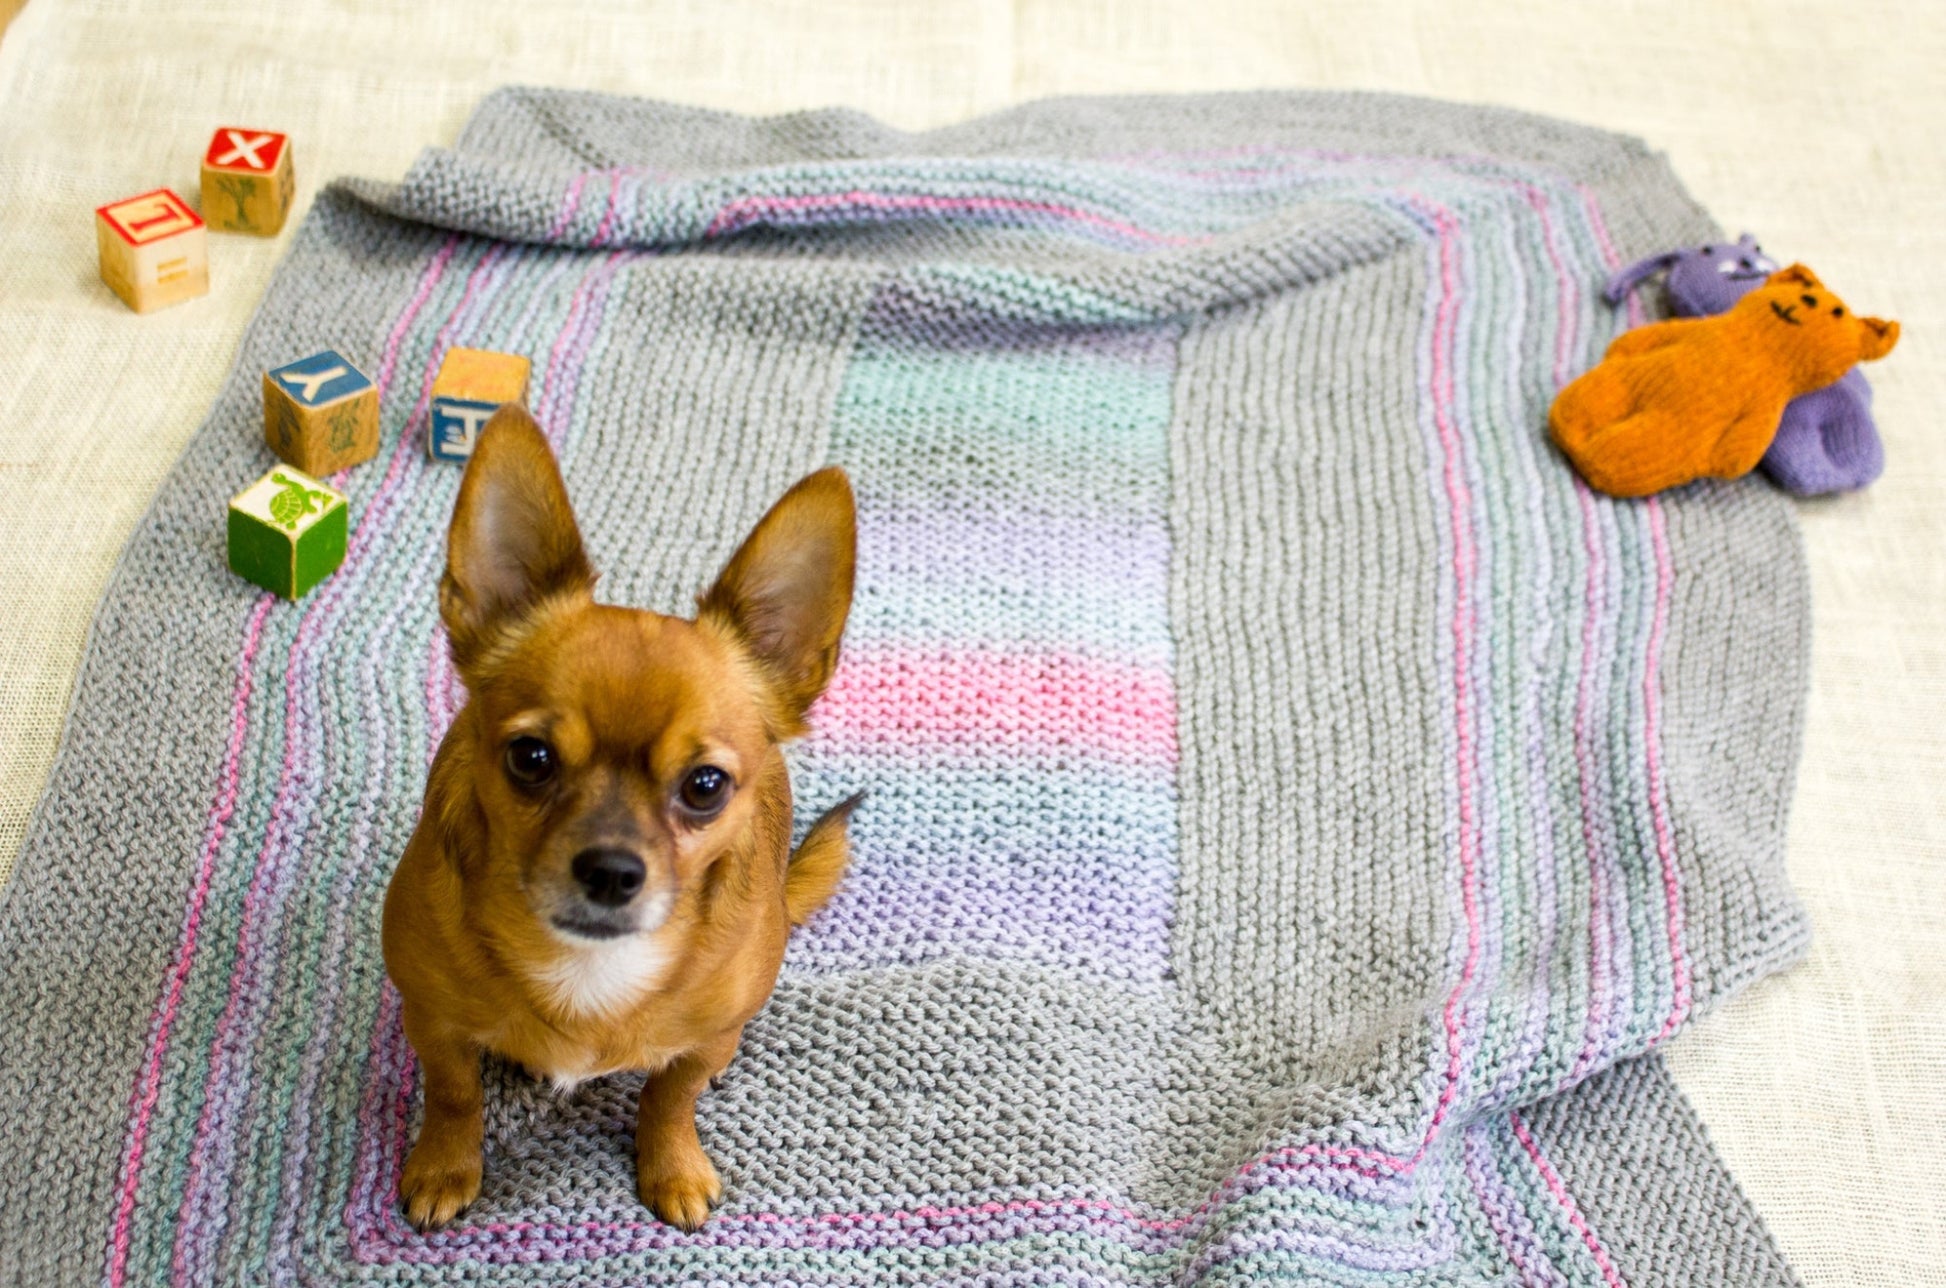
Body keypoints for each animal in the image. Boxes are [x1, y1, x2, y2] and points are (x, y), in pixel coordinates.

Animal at [383, 408, 856, 1237]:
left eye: (706, 786)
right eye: (530, 757)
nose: (610, 871)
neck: (588, 968)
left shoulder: (698, 1043)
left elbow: (670, 1095)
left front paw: (672, 1166)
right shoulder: (432, 1021)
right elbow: (454, 1093)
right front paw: (445, 1164)